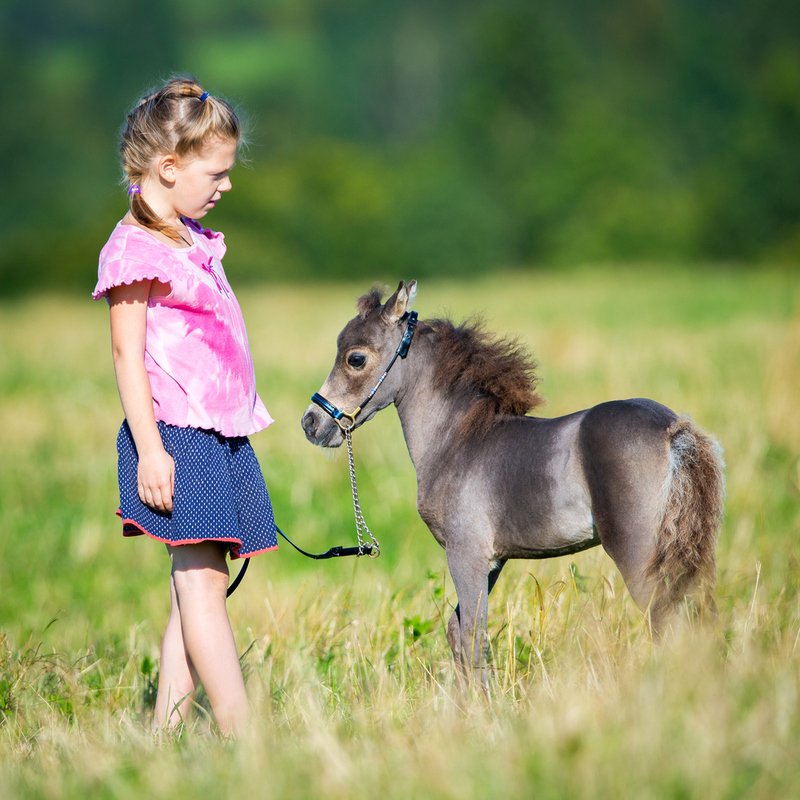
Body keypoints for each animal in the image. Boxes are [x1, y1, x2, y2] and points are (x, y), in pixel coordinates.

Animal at [300, 280, 724, 680]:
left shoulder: (466, 554)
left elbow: (473, 636)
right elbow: (457, 633)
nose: (311, 423)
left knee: (666, 622)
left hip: (639, 554)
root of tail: (674, 429)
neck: (457, 440)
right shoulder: (494, 560)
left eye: (356, 358)